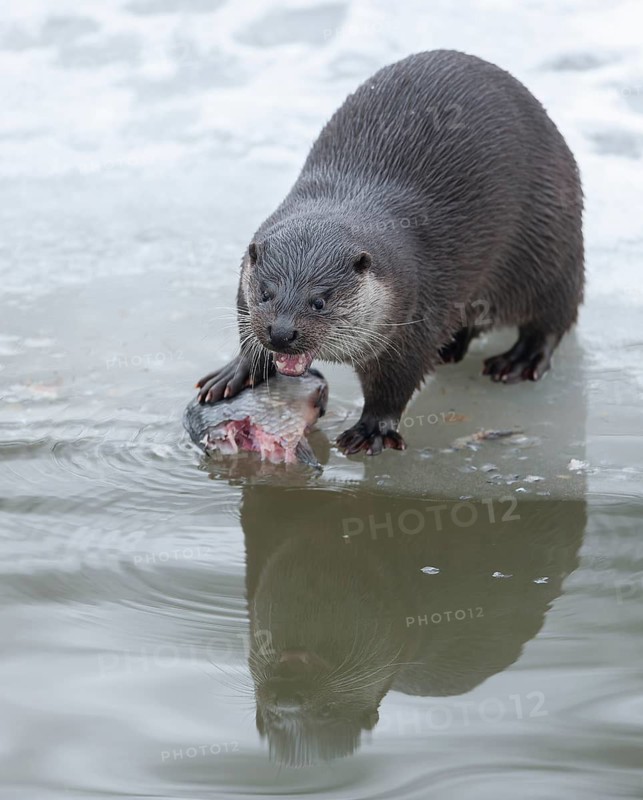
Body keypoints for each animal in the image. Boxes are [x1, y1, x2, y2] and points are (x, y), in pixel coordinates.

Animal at [196, 49, 584, 455]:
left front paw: (372, 429)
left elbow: (395, 382)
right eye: (265, 293)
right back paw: (453, 347)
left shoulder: (415, 316)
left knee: (554, 314)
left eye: (319, 301)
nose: (281, 333)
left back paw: (519, 360)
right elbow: (246, 332)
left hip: (550, 243)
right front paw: (238, 370)